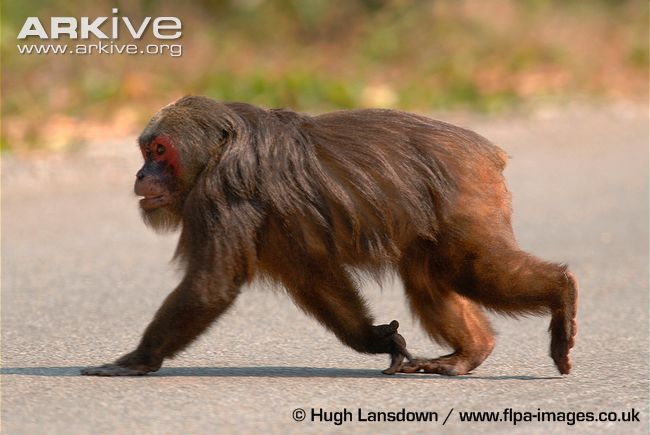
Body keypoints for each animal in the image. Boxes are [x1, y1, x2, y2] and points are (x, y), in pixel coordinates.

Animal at [81, 96, 577, 377]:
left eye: (159, 151)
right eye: (146, 152)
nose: (142, 174)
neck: (219, 152)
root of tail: (487, 152)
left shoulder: (223, 193)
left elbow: (211, 286)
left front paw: (140, 359)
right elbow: (316, 280)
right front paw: (376, 341)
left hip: (467, 198)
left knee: (470, 267)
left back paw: (561, 291)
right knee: (427, 276)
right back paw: (471, 353)